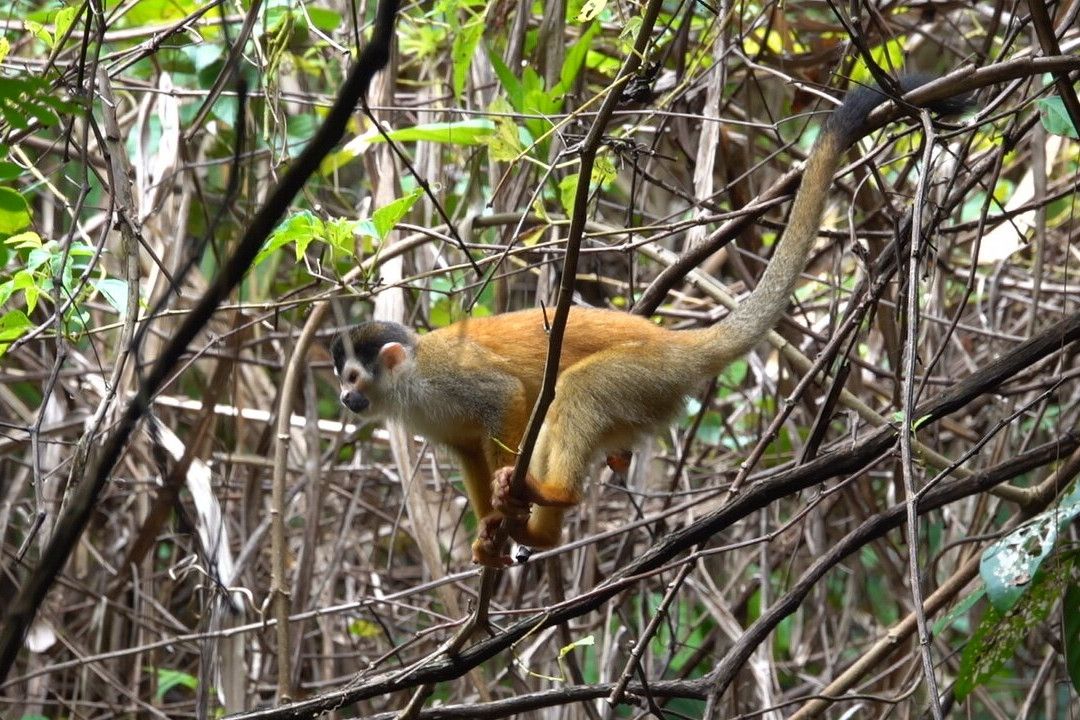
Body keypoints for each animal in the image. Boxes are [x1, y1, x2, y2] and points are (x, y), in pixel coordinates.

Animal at [330, 76, 972, 565]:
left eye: (353, 378)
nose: (343, 400)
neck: (407, 384)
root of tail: (675, 342)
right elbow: (469, 449)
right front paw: (490, 533)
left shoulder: (446, 378)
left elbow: (506, 396)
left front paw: (504, 508)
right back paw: (543, 531)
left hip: (646, 374)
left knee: (574, 390)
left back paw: (549, 493)